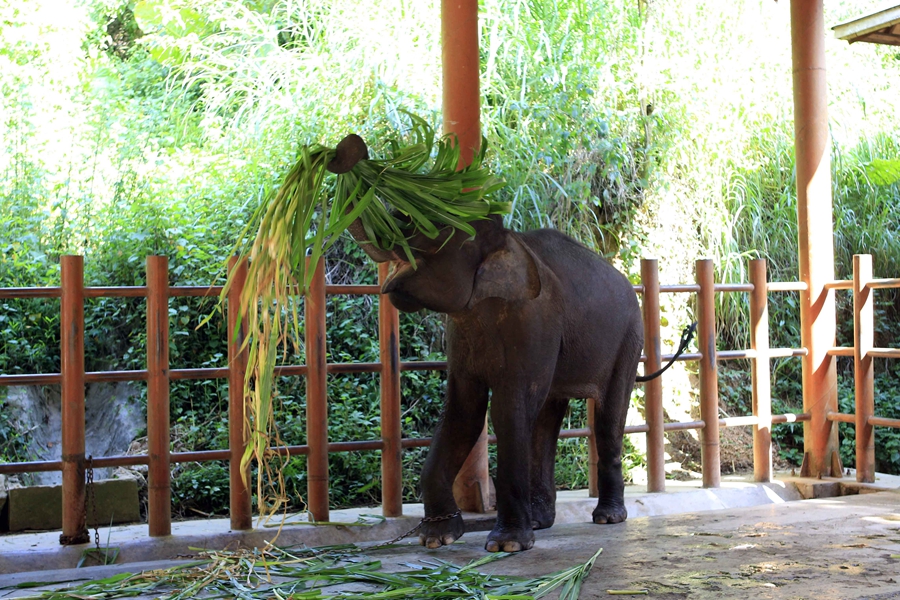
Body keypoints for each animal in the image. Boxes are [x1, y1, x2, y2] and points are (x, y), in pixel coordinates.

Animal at [328, 135, 685, 553]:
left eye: (433, 227)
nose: (347, 147)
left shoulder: (532, 322)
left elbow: (508, 408)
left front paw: (506, 545)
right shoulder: (464, 333)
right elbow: (463, 411)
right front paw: (437, 538)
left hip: (628, 340)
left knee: (607, 418)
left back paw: (607, 518)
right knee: (547, 418)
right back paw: (543, 521)